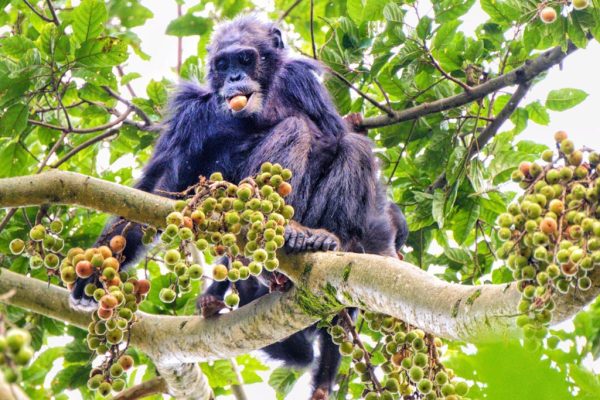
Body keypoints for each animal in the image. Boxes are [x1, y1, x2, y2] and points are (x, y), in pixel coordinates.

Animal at [69, 14, 408, 398]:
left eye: (245, 59)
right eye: (223, 64)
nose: (233, 77)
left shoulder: (303, 83)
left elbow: (337, 135)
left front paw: (383, 251)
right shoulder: (189, 117)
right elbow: (156, 188)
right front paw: (96, 269)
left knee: (351, 146)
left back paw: (327, 240)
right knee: (296, 129)